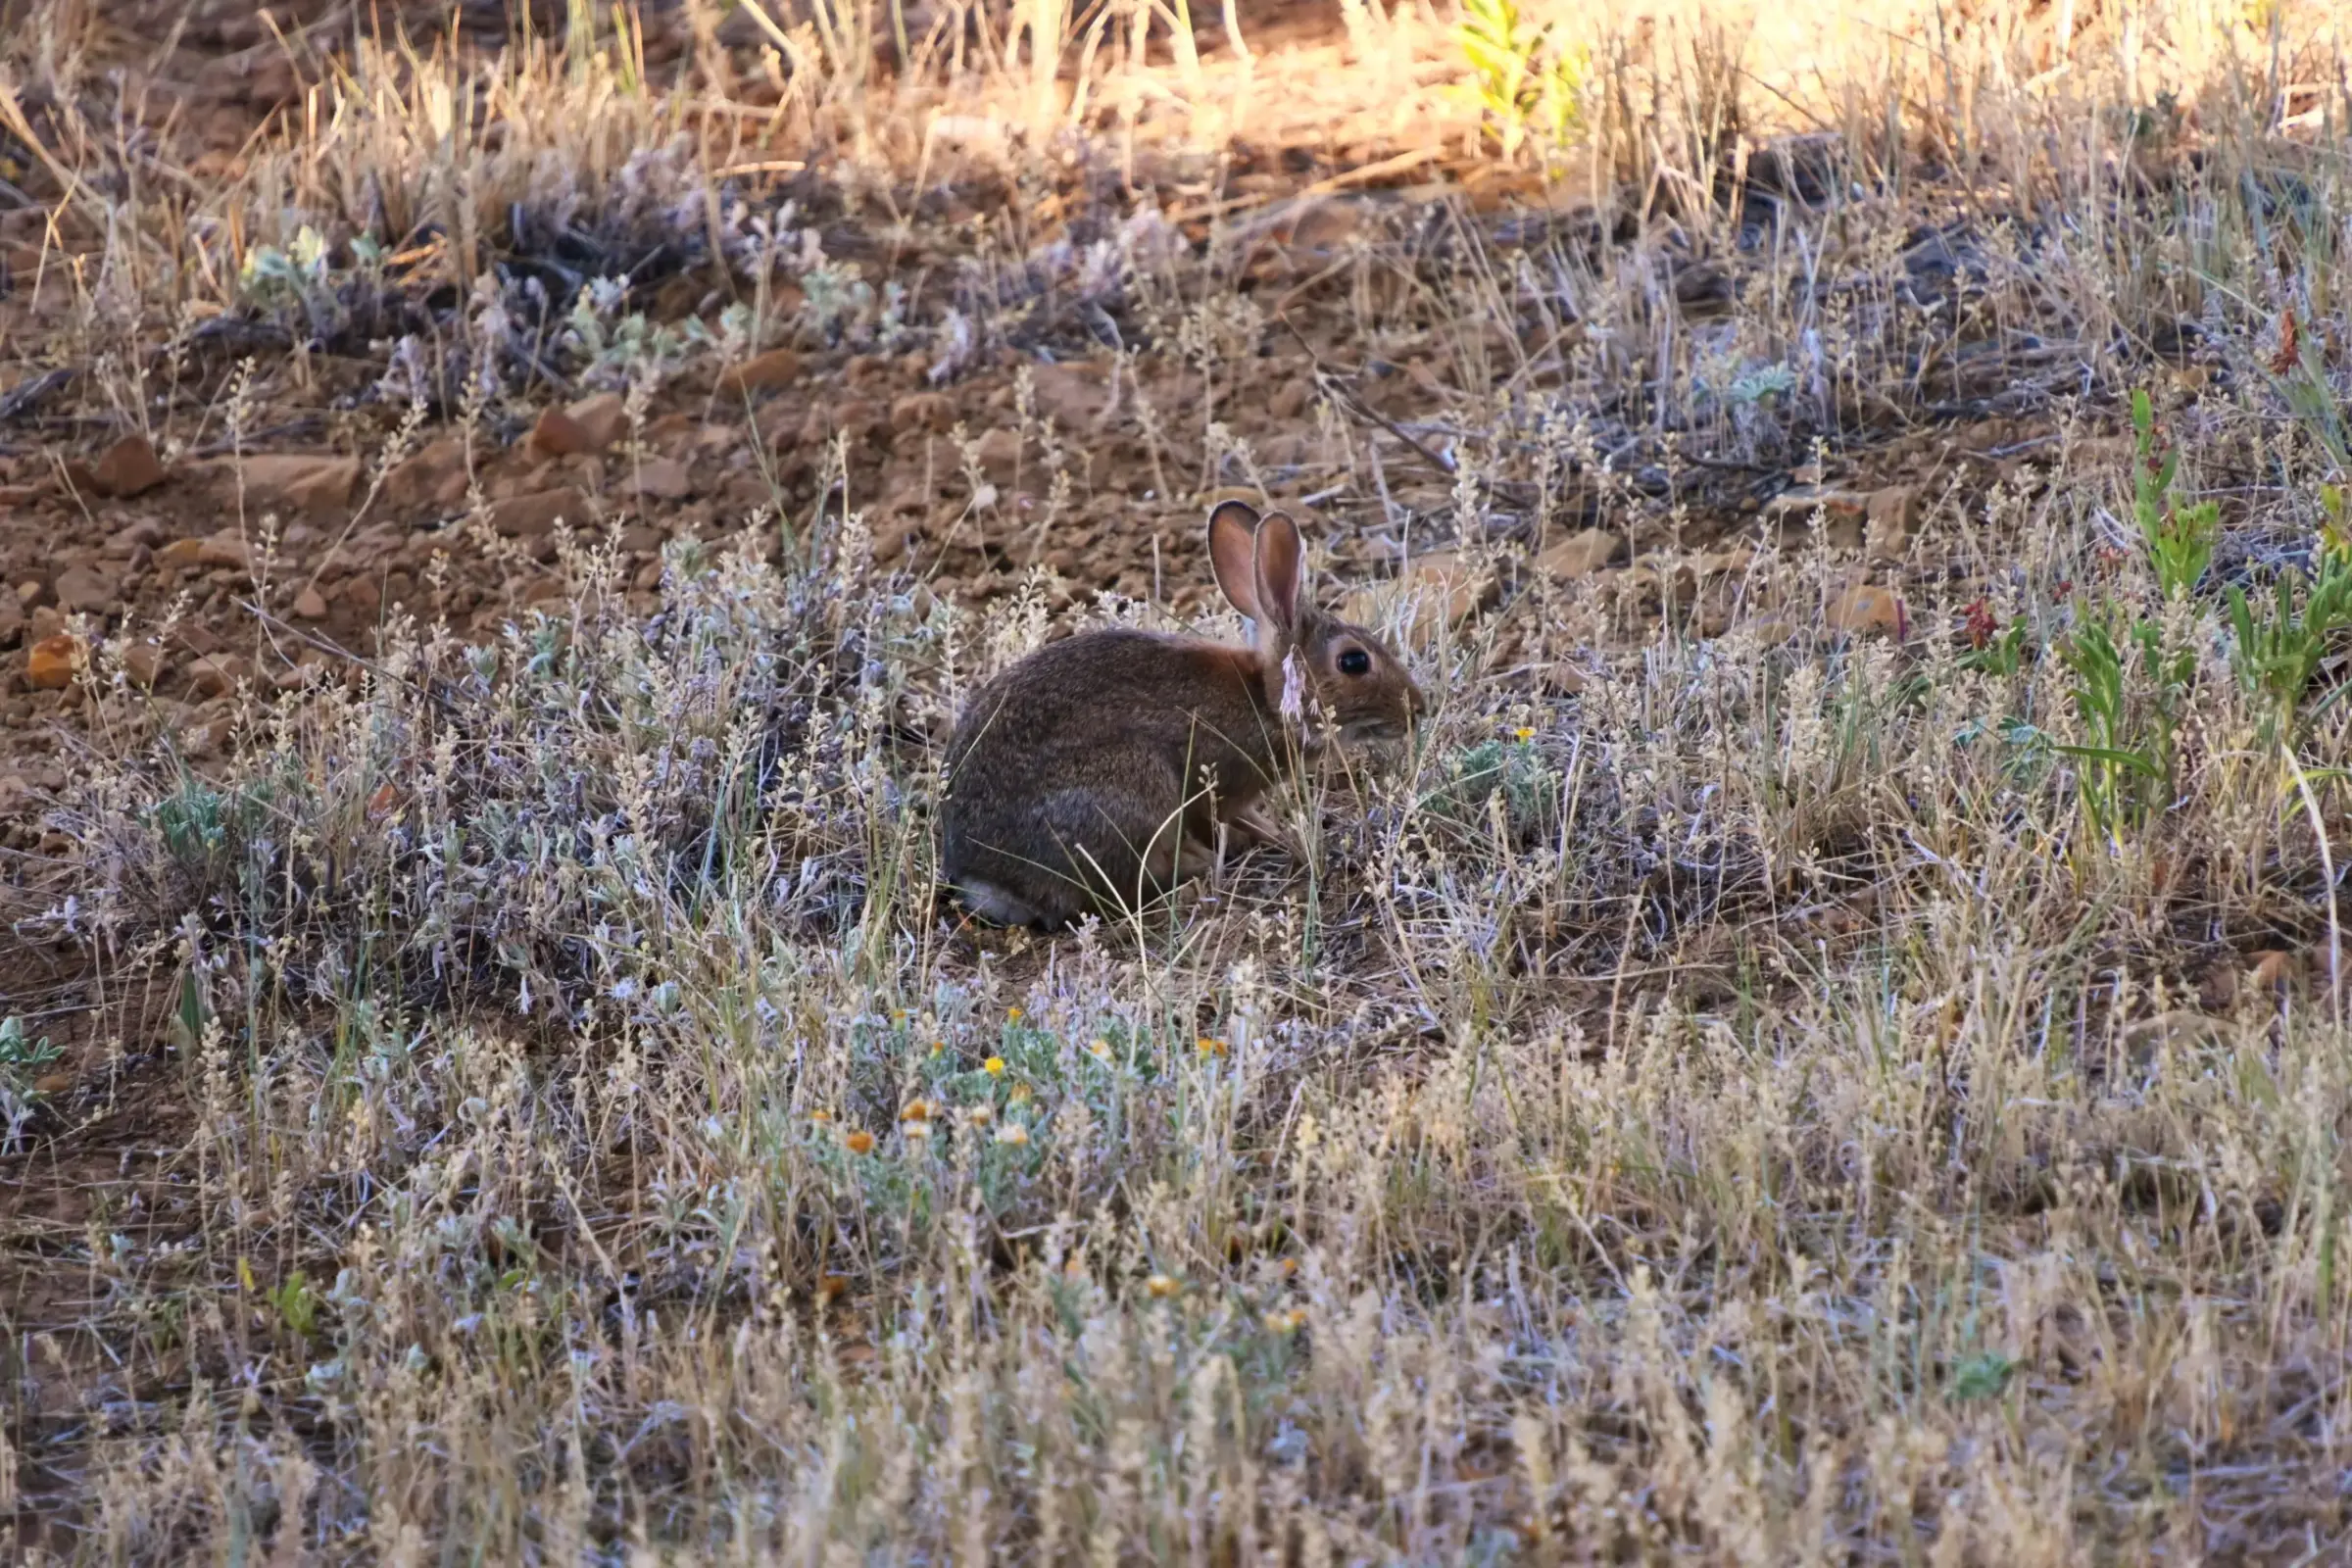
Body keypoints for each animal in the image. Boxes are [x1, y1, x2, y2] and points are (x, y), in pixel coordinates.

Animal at [941, 499, 1427, 930]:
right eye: (1354, 662)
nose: (1418, 709)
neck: (1267, 700)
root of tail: (991, 881)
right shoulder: (1218, 788)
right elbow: (1225, 818)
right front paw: (1280, 839)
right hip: (1133, 785)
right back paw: (1198, 869)